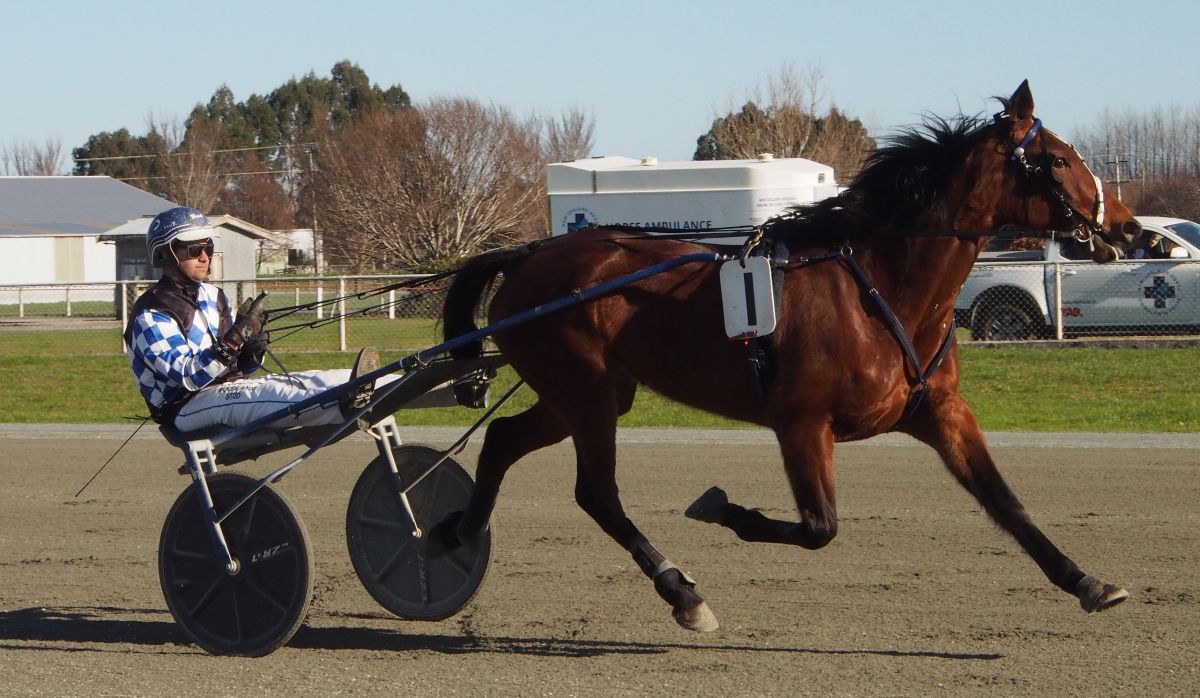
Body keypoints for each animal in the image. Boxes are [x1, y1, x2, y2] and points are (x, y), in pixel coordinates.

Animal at [431, 81, 1139, 632]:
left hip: (583, 395)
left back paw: (457, 529)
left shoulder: (940, 411)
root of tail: (528, 253)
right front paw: (722, 508)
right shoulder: (802, 424)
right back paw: (681, 591)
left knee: (502, 439)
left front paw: (1086, 580)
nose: (1128, 225)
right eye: (1056, 160)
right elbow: (818, 526)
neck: (885, 290)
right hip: (587, 393)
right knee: (596, 493)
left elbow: (1005, 502)